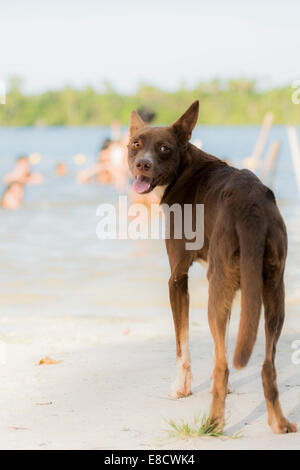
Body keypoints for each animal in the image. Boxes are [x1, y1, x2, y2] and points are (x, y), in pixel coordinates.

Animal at [127, 101, 298, 436]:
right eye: (136, 145)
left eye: (164, 148)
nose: (142, 164)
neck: (183, 167)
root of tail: (251, 208)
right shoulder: (232, 288)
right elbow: (227, 340)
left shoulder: (177, 278)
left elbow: (182, 345)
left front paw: (181, 389)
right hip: (273, 292)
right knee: (266, 365)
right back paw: (278, 423)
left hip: (217, 289)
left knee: (222, 367)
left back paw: (213, 424)